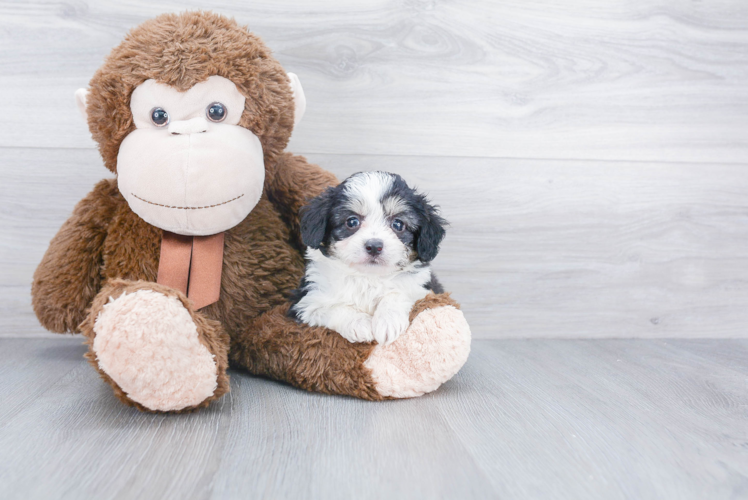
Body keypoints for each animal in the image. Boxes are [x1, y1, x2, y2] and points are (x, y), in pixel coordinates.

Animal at [290, 171, 448, 344]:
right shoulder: (305, 301)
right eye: (352, 222)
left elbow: (398, 293)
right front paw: (359, 324)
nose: (374, 246)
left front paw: (388, 321)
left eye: (398, 224)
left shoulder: (425, 291)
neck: (368, 277)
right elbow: (331, 307)